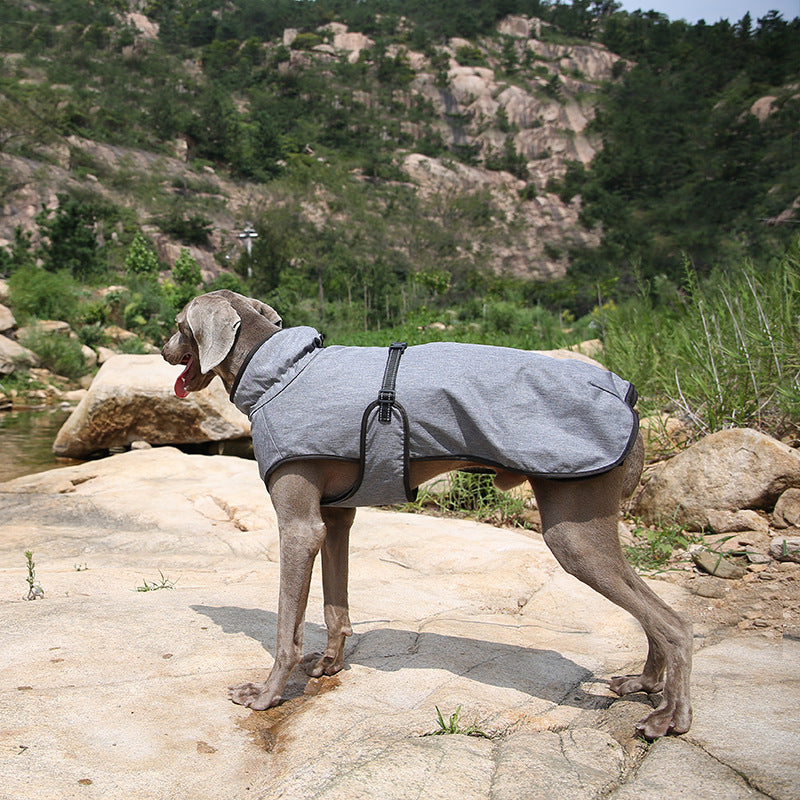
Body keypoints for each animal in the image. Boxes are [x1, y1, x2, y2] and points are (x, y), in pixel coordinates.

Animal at [162, 288, 692, 736]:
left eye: (180, 326)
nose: (164, 351)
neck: (276, 370)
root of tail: (628, 396)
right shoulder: (334, 519)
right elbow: (336, 608)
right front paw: (330, 664)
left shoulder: (298, 526)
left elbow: (285, 628)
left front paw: (266, 694)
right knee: (652, 608)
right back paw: (644, 683)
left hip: (574, 531)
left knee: (676, 623)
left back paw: (670, 716)